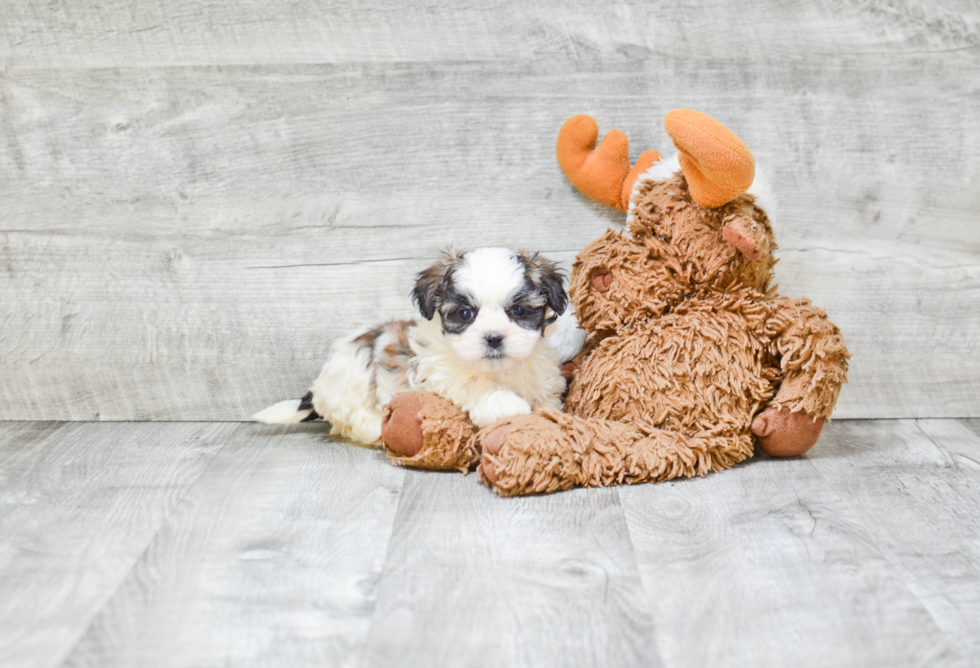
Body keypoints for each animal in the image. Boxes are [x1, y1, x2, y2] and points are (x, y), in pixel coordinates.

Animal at [256, 245, 584, 444]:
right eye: (465, 314)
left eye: (518, 310)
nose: (493, 337)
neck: (502, 371)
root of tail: (318, 390)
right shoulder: (437, 368)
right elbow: (471, 381)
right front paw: (502, 402)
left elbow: (545, 401)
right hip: (352, 386)